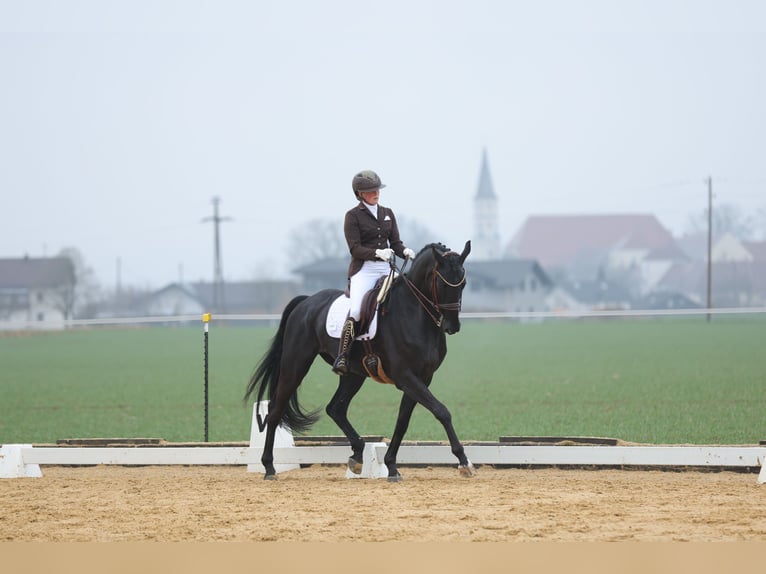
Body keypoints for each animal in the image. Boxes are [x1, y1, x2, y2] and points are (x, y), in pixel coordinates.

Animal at [244, 240, 474, 481]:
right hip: (295, 364)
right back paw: (269, 467)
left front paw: (391, 466)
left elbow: (402, 421)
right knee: (275, 411)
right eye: (440, 282)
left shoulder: (422, 377)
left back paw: (357, 454)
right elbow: (441, 411)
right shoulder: (406, 377)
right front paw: (463, 461)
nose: (452, 326)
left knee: (335, 408)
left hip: (353, 374)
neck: (415, 314)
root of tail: (306, 301)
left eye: (463, 283)